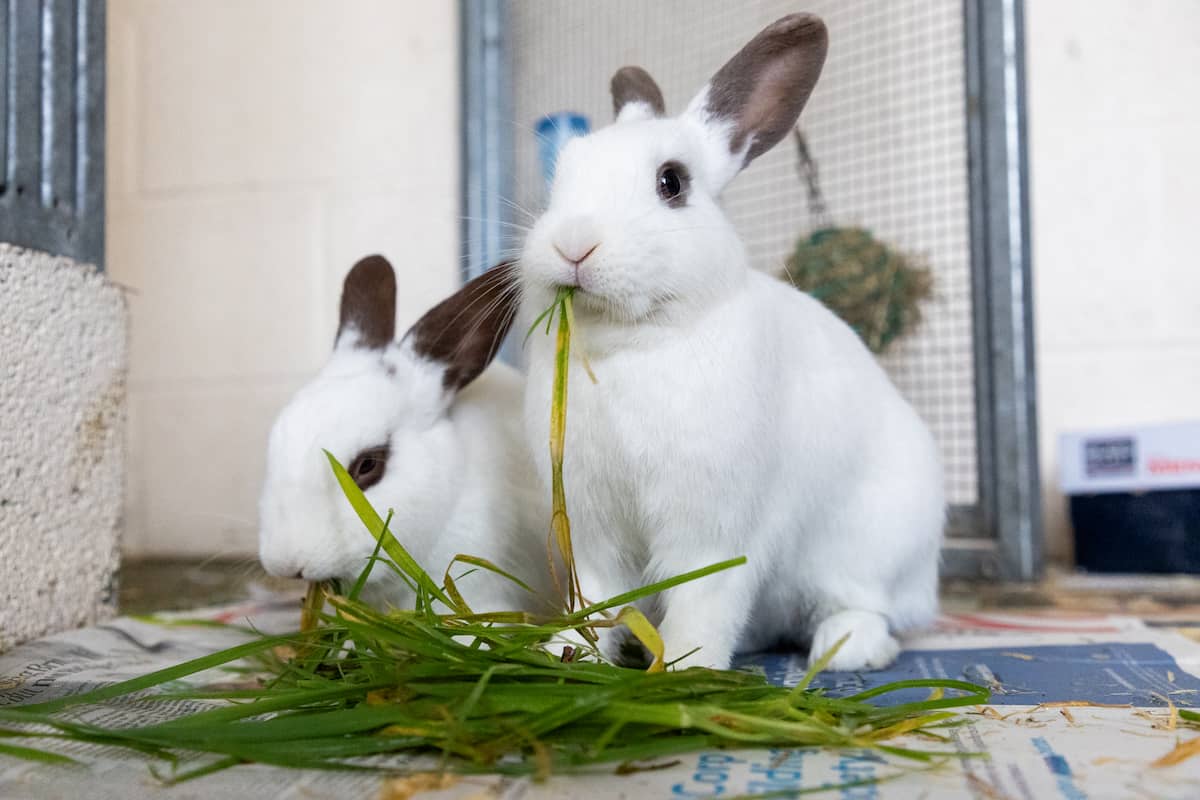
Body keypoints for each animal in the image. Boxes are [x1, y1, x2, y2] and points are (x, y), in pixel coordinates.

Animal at [518, 14, 944, 672]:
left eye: (672, 182)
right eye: (560, 177)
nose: (573, 244)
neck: (633, 346)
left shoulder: (714, 531)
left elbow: (703, 601)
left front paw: (687, 670)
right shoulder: (592, 534)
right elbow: (595, 599)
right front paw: (569, 655)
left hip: (871, 551)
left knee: (873, 611)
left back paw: (846, 648)